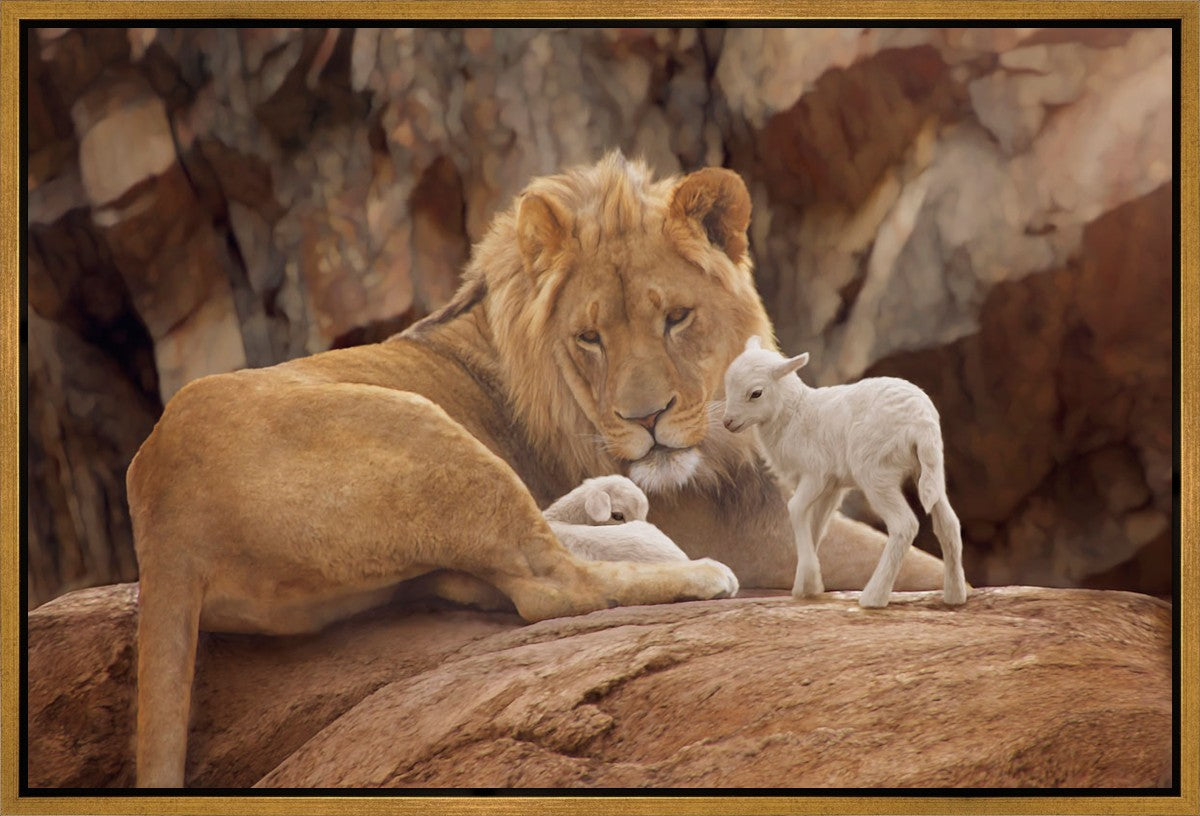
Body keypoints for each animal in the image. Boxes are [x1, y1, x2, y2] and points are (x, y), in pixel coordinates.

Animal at [721, 336, 968, 609]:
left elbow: (795, 509)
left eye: (756, 393)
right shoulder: (832, 486)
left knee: (904, 525)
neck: (794, 414)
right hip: (929, 469)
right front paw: (807, 585)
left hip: (875, 471)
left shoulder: (816, 473)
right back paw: (955, 595)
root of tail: (922, 422)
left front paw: (809, 580)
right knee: (949, 524)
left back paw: (873, 597)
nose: (727, 422)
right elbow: (816, 524)